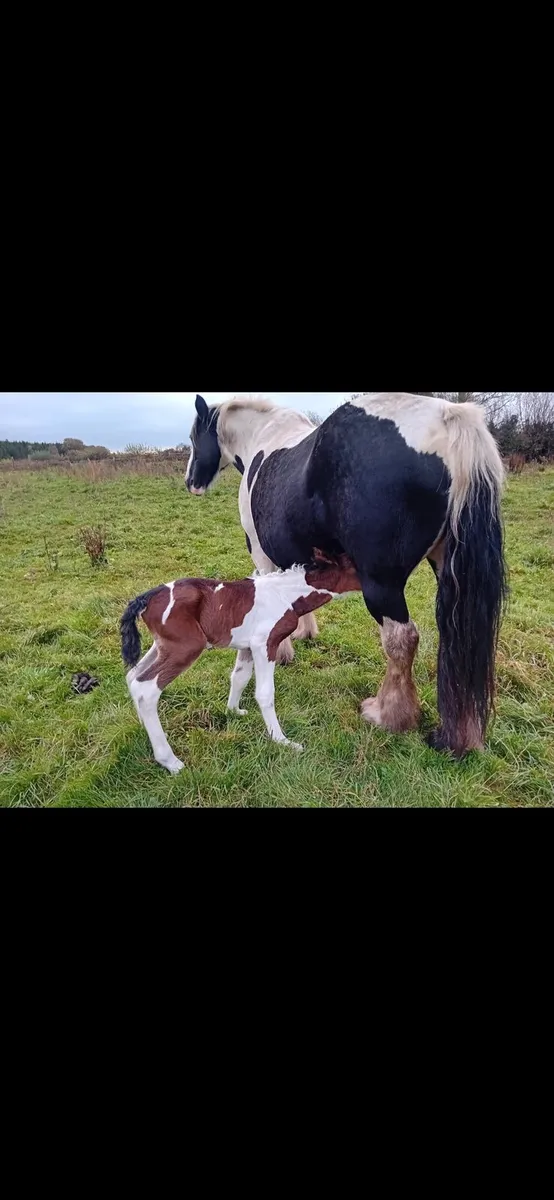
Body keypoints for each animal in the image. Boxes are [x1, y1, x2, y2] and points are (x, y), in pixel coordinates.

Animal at [120, 552, 360, 773]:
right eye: (356, 566)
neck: (285, 595)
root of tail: (146, 598)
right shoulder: (264, 643)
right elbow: (264, 693)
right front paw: (282, 741)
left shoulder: (247, 646)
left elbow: (239, 677)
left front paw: (233, 711)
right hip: (186, 647)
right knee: (146, 688)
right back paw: (170, 761)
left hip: (163, 646)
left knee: (133, 676)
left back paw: (143, 726)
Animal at [185, 392, 507, 757]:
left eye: (194, 437)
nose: (191, 483)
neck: (261, 437)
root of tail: (449, 417)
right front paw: (302, 633)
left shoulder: (262, 557)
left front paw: (281, 652)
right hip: (452, 576)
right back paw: (461, 737)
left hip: (381, 583)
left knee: (402, 639)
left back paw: (387, 715)